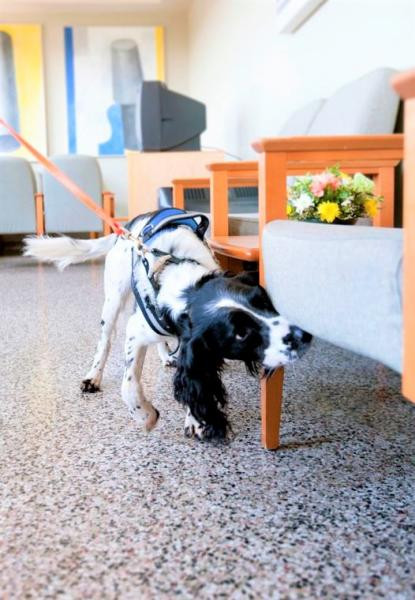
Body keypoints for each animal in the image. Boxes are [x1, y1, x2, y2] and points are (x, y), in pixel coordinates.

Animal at [23, 211, 312, 440]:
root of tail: (129, 226)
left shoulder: (188, 342)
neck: (181, 283)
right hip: (113, 300)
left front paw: (195, 420)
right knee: (105, 340)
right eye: (240, 333)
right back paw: (93, 377)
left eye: (262, 300)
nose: (305, 336)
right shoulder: (135, 331)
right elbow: (129, 385)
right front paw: (146, 416)